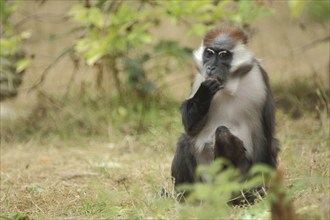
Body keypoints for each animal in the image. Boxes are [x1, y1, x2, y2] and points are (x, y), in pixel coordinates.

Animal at [171, 24, 280, 203]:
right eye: (209, 53)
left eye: (223, 55)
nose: (211, 68)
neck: (228, 86)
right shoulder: (199, 78)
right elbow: (191, 129)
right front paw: (204, 94)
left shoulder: (258, 80)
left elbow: (263, 138)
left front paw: (256, 195)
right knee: (184, 141)